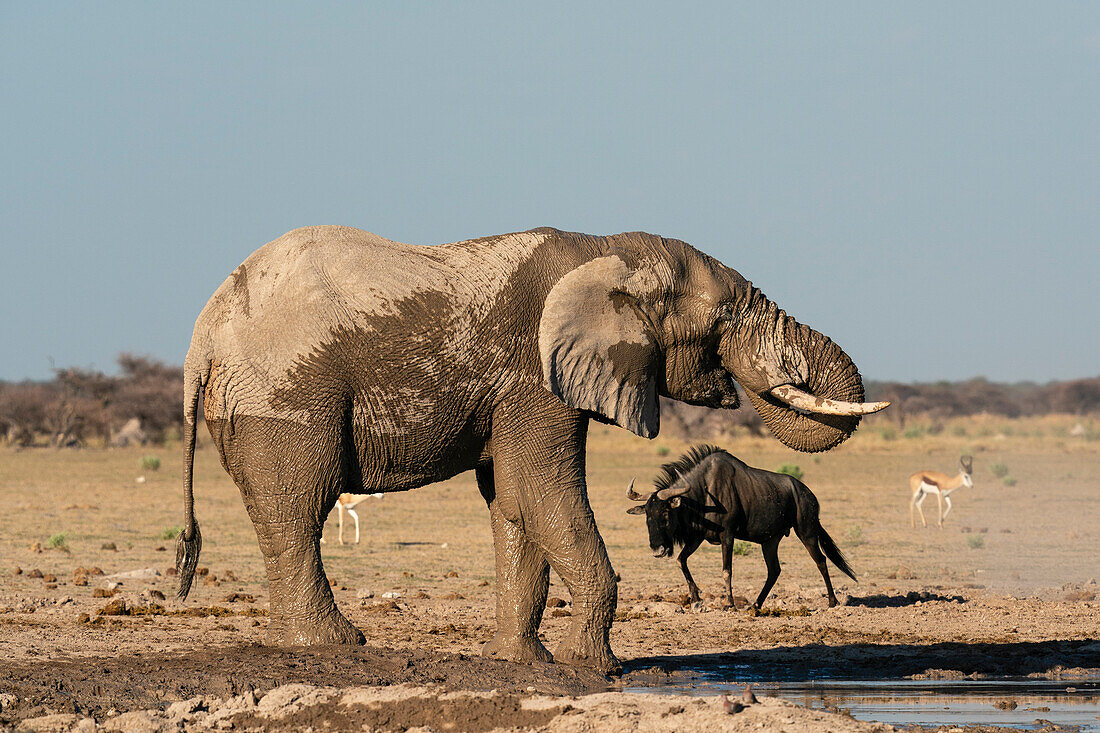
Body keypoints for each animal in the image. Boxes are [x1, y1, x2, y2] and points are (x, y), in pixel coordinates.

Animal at [176, 225, 888, 669]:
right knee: (299, 511)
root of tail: (200, 342)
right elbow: (547, 493)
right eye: (724, 318)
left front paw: (524, 661)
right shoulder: (533, 377)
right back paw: (334, 646)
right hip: (286, 401)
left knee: (285, 517)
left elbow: (515, 504)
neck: (605, 249)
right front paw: (595, 668)